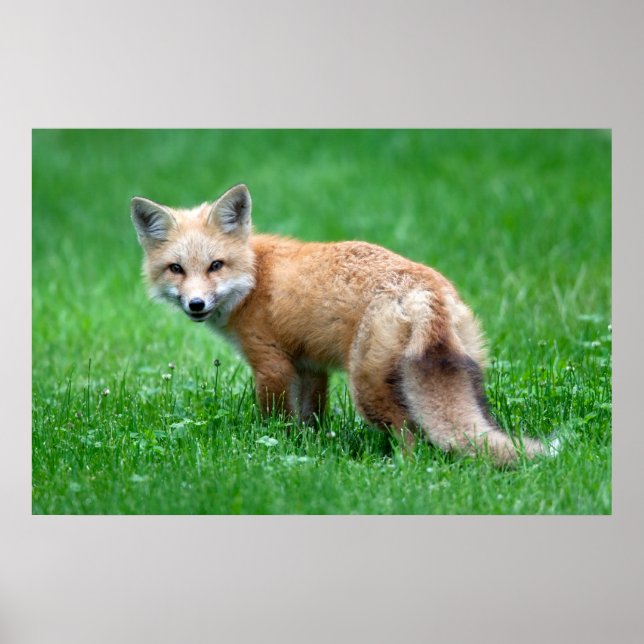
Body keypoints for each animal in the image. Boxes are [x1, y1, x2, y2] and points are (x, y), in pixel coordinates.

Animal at [131, 183, 555, 466]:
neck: (255, 276)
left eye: (215, 266)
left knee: (410, 436)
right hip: (466, 376)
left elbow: (275, 424)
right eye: (176, 269)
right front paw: (306, 449)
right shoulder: (309, 366)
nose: (196, 304)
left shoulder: (271, 364)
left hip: (367, 388)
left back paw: (401, 471)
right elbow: (309, 420)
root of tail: (425, 290)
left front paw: (272, 450)